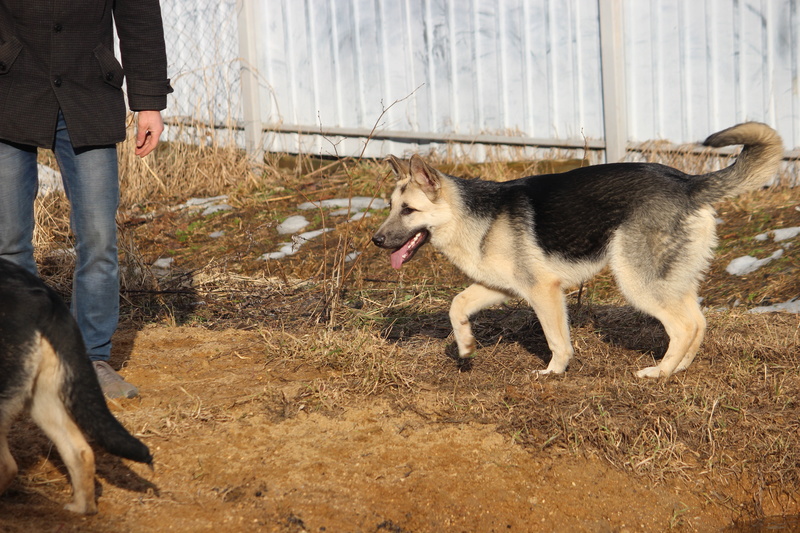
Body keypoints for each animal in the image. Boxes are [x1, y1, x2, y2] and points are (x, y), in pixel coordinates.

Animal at [374, 121, 780, 378]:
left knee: (683, 326)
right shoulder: (498, 288)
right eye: (390, 207)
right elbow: (456, 305)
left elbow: (557, 340)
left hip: (638, 282)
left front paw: (554, 372)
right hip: (672, 282)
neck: (473, 216)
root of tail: (688, 183)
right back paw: (678, 368)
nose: (376, 241)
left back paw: (660, 372)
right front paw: (465, 347)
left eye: (408, 211)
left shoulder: (544, 291)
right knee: (698, 322)